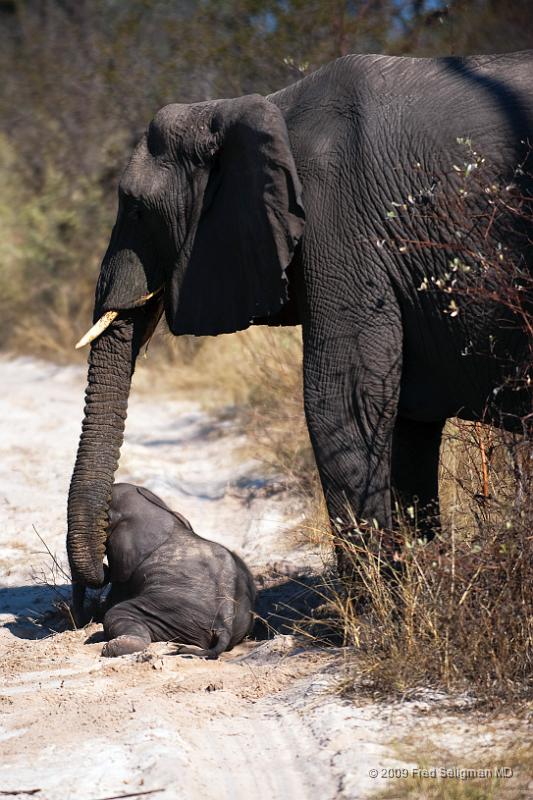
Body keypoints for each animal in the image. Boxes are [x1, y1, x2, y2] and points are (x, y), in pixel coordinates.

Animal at [68, 51, 532, 588]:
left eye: (138, 210)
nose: (102, 572)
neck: (257, 110)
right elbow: (405, 421)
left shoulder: (343, 225)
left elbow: (342, 402)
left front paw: (374, 608)